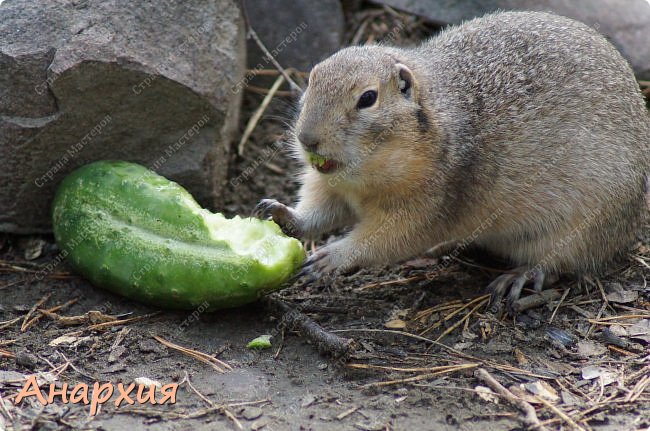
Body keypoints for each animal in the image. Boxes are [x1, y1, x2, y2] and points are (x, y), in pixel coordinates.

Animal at [254, 10, 648, 308]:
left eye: (367, 98)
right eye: (312, 79)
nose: (307, 139)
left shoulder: (428, 204)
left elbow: (385, 238)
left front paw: (332, 256)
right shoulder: (331, 185)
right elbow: (320, 210)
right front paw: (280, 213)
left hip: (584, 227)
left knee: (560, 263)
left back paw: (520, 276)